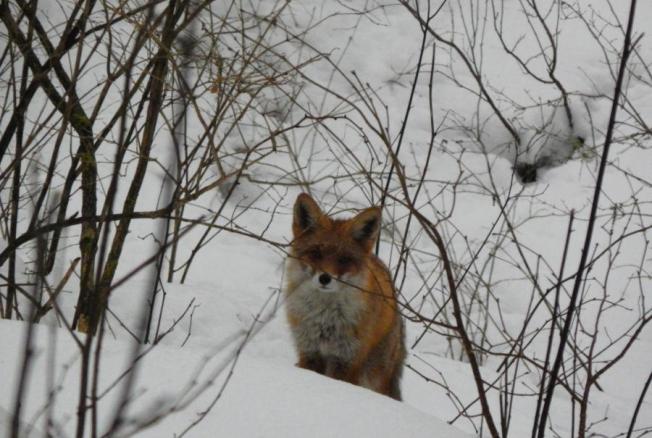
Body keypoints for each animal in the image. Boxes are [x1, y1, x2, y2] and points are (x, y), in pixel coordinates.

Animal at [284, 193, 404, 398]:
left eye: (344, 259)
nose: (325, 278)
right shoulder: (309, 351)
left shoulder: (347, 360)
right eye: (316, 253)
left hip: (373, 374)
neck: (324, 319)